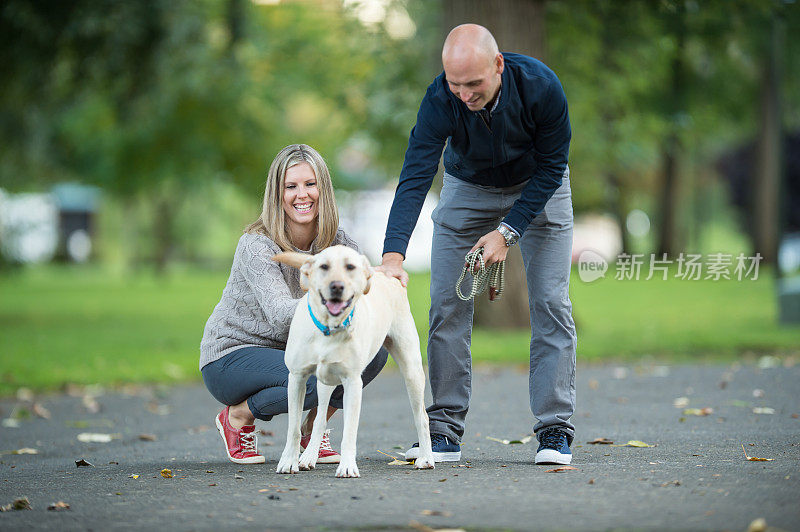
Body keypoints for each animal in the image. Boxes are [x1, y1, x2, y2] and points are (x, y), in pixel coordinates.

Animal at [270, 245, 434, 478]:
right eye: (324, 266)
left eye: (350, 267)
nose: (337, 286)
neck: (329, 327)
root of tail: (386, 274)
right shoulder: (297, 378)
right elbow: (293, 428)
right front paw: (288, 462)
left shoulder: (353, 382)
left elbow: (349, 430)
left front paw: (347, 466)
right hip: (324, 383)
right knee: (319, 418)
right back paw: (309, 456)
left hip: (412, 370)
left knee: (422, 417)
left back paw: (426, 457)